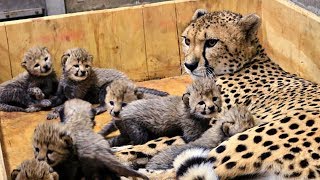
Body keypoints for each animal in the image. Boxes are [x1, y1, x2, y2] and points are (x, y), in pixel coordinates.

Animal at [112, 9, 320, 179]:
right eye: (187, 40)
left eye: (211, 42)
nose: (189, 65)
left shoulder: (209, 125)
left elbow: (159, 142)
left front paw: (120, 152)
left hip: (249, 138)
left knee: (178, 171)